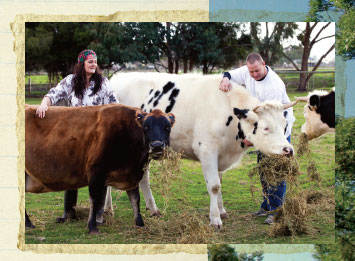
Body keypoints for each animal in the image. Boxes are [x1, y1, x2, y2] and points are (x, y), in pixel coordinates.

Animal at [25, 102, 175, 233]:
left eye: (167, 127)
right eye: (146, 127)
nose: (157, 146)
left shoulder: (131, 175)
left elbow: (135, 200)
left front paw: (140, 224)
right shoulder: (95, 172)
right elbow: (95, 200)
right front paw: (92, 227)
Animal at [108, 71, 298, 225]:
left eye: (284, 125)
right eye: (266, 128)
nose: (288, 150)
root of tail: (115, 79)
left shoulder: (220, 155)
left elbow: (219, 183)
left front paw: (221, 211)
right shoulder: (207, 150)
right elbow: (213, 185)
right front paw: (215, 219)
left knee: (144, 177)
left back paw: (152, 209)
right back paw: (108, 209)